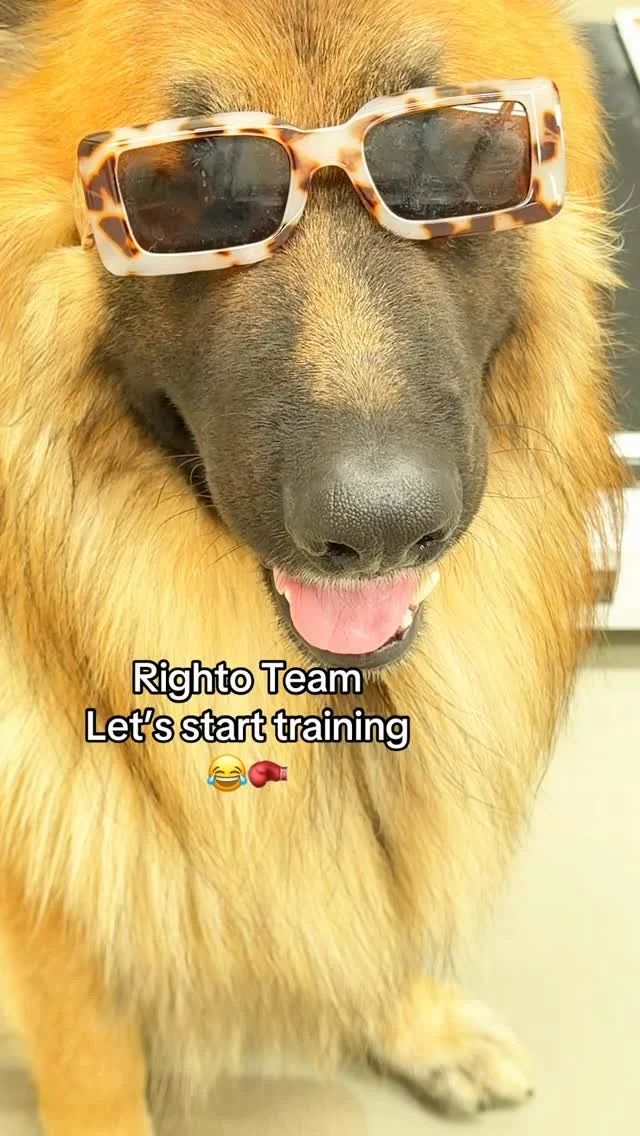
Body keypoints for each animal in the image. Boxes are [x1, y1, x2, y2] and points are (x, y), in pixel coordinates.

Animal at [0, 1, 625, 1132]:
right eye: (182, 186)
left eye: (459, 149)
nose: (380, 528)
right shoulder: (47, 910)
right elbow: (96, 1067)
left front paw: (413, 1018)